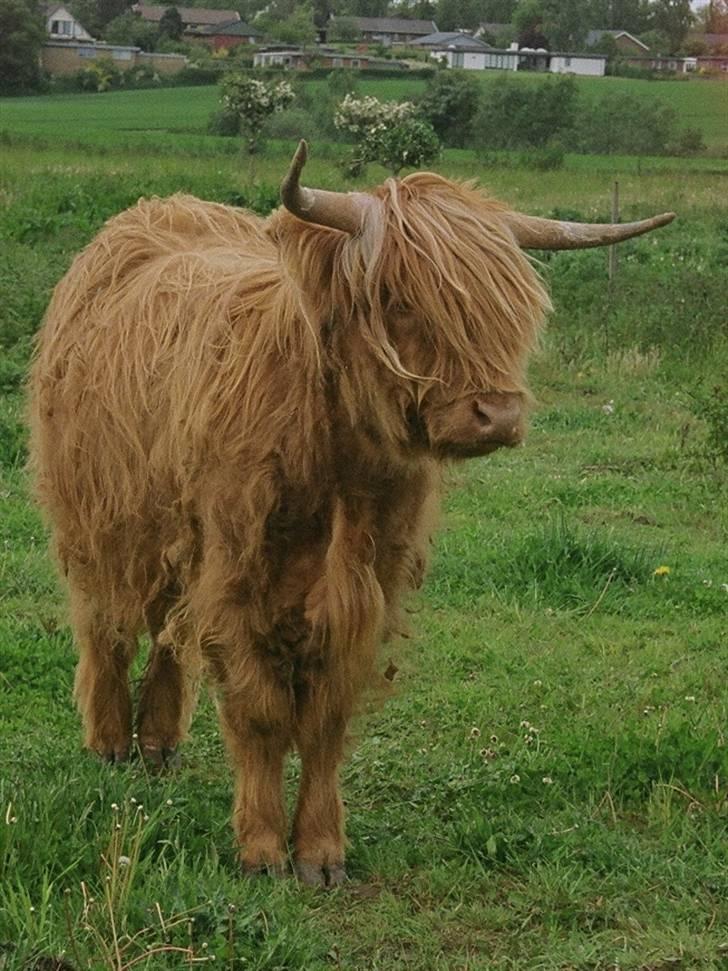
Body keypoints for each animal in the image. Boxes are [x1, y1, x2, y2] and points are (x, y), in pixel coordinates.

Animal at [28, 142, 674, 887]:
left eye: (509, 308)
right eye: (397, 298)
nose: (497, 414)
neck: (332, 459)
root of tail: (157, 210)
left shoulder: (364, 589)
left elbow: (326, 719)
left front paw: (321, 850)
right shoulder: (234, 578)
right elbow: (258, 711)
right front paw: (260, 848)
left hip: (174, 537)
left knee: (164, 631)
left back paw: (159, 743)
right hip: (97, 521)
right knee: (107, 624)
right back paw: (110, 742)